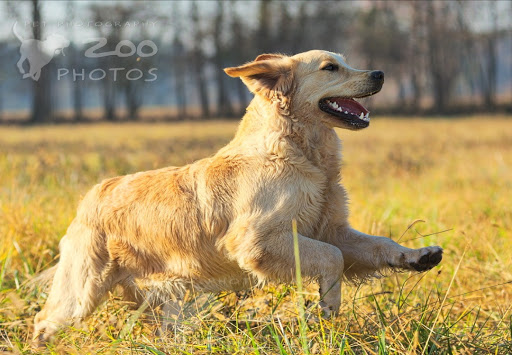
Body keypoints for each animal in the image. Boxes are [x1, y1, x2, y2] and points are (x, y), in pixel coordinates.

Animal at [33, 48, 440, 344]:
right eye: (330, 68)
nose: (380, 74)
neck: (298, 152)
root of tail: (94, 192)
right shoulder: (257, 241)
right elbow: (333, 258)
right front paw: (327, 306)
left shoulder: (330, 228)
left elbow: (376, 244)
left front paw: (418, 255)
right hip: (81, 293)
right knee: (43, 320)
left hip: (161, 301)